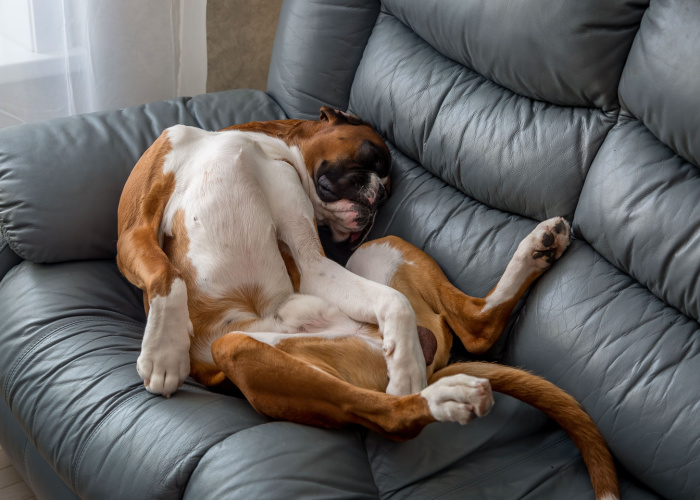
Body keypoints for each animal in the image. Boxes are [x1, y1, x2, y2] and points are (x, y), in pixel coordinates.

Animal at [117, 107, 620, 498]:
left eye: (388, 187)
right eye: (373, 158)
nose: (376, 200)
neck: (255, 145)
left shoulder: (312, 261)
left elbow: (393, 301)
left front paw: (406, 362)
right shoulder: (134, 231)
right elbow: (166, 274)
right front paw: (164, 354)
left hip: (376, 254)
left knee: (424, 382)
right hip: (259, 343)